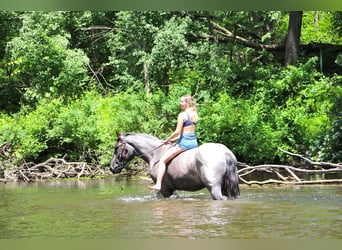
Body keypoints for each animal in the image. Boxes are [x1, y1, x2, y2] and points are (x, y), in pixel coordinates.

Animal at [111, 132, 239, 200]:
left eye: (116, 148)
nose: (112, 167)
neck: (155, 154)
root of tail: (224, 152)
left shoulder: (164, 190)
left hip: (214, 187)